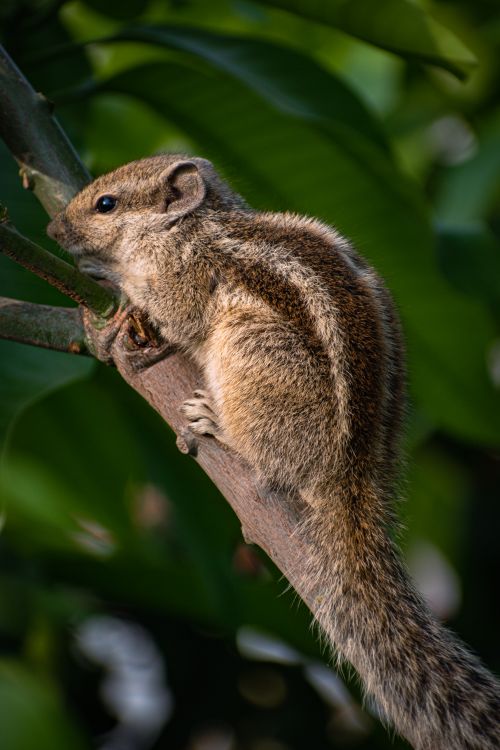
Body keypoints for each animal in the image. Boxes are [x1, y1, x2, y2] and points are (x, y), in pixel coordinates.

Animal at [47, 154, 500, 750]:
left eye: (106, 204)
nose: (52, 229)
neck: (190, 226)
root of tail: (353, 475)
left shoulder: (184, 277)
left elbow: (171, 312)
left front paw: (114, 290)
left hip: (252, 347)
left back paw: (217, 424)